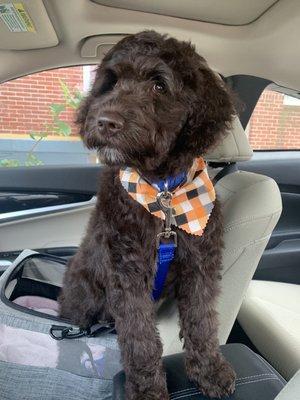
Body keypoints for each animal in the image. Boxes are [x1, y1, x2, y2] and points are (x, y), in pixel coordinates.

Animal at [58, 31, 237, 400]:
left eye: (159, 85)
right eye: (110, 83)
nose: (105, 122)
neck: (163, 193)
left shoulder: (200, 265)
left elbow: (202, 321)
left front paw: (210, 371)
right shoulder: (126, 271)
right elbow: (139, 337)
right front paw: (146, 389)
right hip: (84, 291)